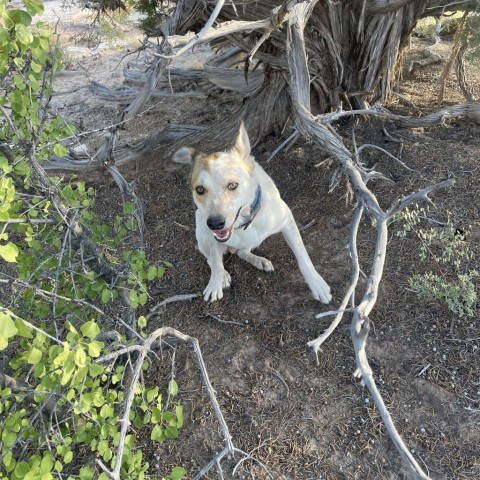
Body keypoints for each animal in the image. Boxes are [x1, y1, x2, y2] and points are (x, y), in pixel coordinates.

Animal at [174, 124, 332, 304]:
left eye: (233, 185)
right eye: (199, 189)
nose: (214, 223)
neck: (244, 223)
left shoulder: (287, 220)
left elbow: (303, 257)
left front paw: (317, 284)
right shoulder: (212, 236)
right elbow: (216, 262)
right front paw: (216, 283)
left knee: (242, 252)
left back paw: (259, 261)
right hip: (201, 232)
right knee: (212, 258)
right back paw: (224, 275)